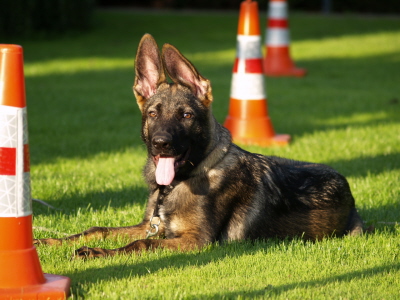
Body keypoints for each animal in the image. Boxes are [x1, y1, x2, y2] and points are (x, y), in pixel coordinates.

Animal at [34, 33, 366, 258]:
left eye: (186, 115)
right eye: (153, 114)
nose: (161, 144)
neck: (180, 181)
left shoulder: (195, 240)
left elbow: (142, 243)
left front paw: (100, 254)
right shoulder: (151, 223)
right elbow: (99, 230)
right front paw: (51, 242)